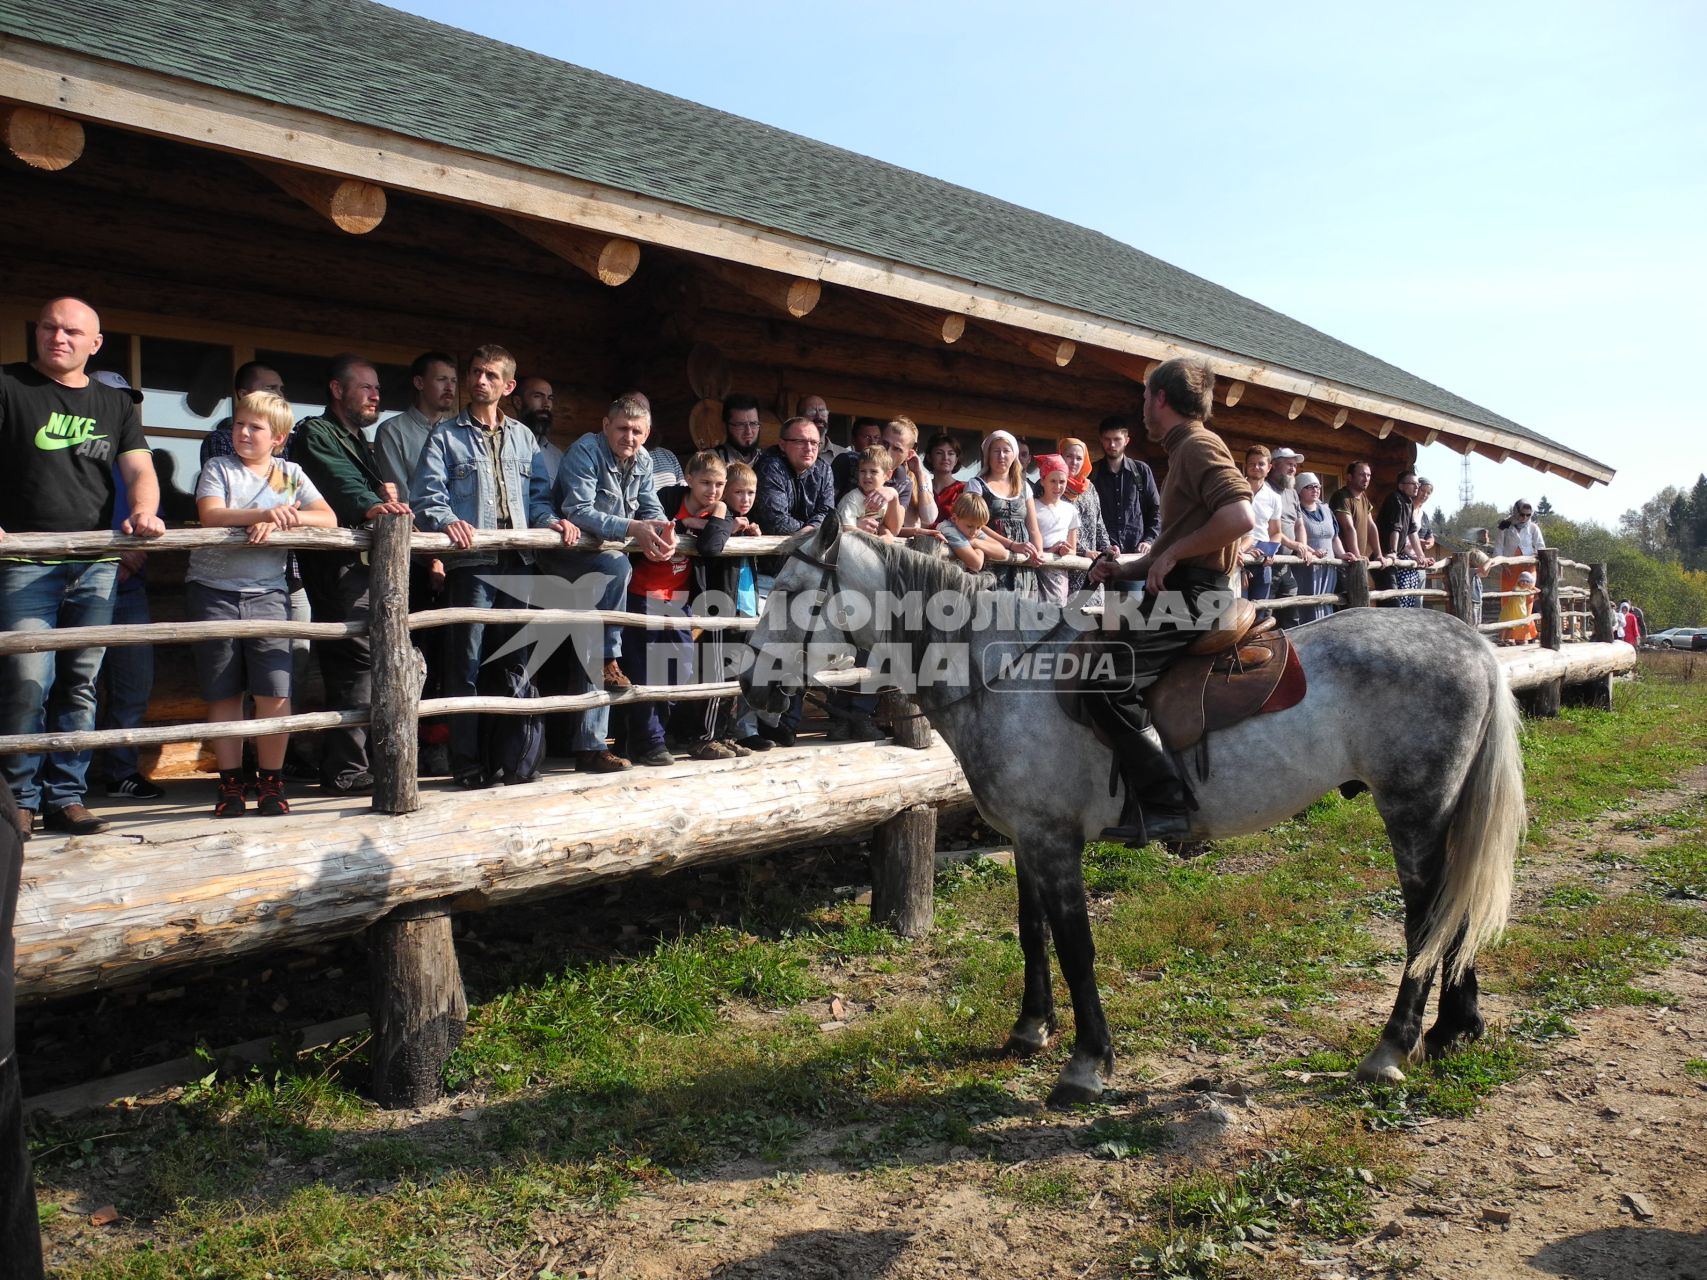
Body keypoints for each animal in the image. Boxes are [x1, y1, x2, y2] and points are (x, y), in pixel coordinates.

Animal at [740, 525, 1529, 1105]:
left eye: (791, 591)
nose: (749, 682)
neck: (1005, 673)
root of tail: (1466, 640)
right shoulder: (1028, 838)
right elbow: (1031, 934)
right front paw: (1030, 1029)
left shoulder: (1055, 843)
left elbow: (1075, 946)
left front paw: (1086, 1064)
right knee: (1450, 909)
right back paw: (1453, 1028)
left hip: (1413, 810)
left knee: (1426, 917)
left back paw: (1391, 1047)